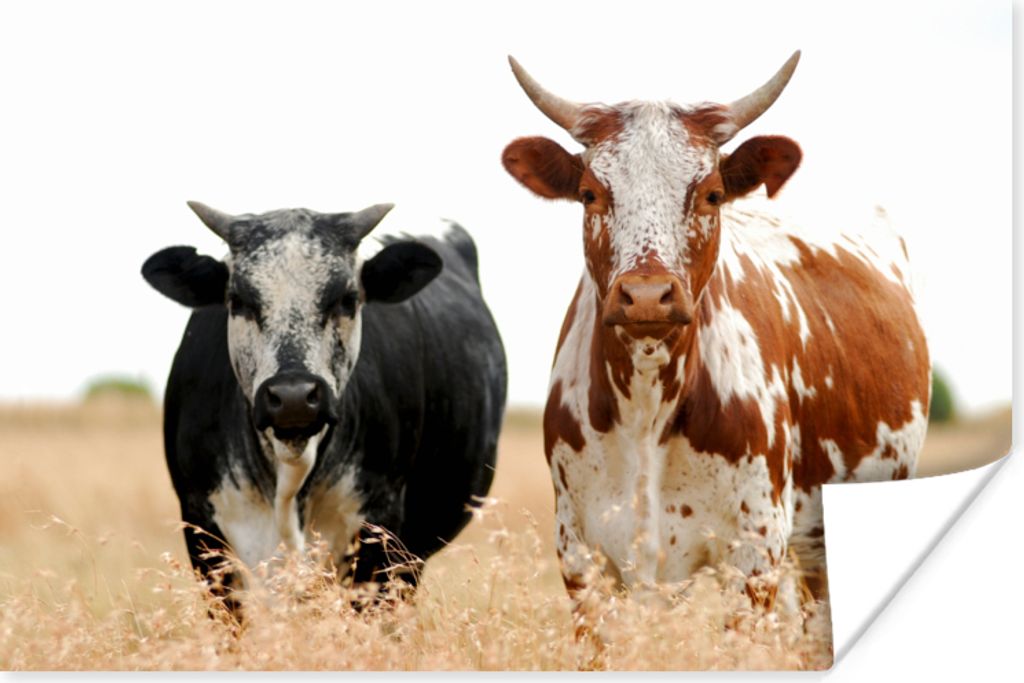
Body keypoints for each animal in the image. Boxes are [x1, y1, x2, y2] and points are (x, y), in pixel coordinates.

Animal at [501, 51, 930, 623]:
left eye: (712, 194)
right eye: (589, 194)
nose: (647, 296)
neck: (646, 408)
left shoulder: (755, 551)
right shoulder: (579, 555)